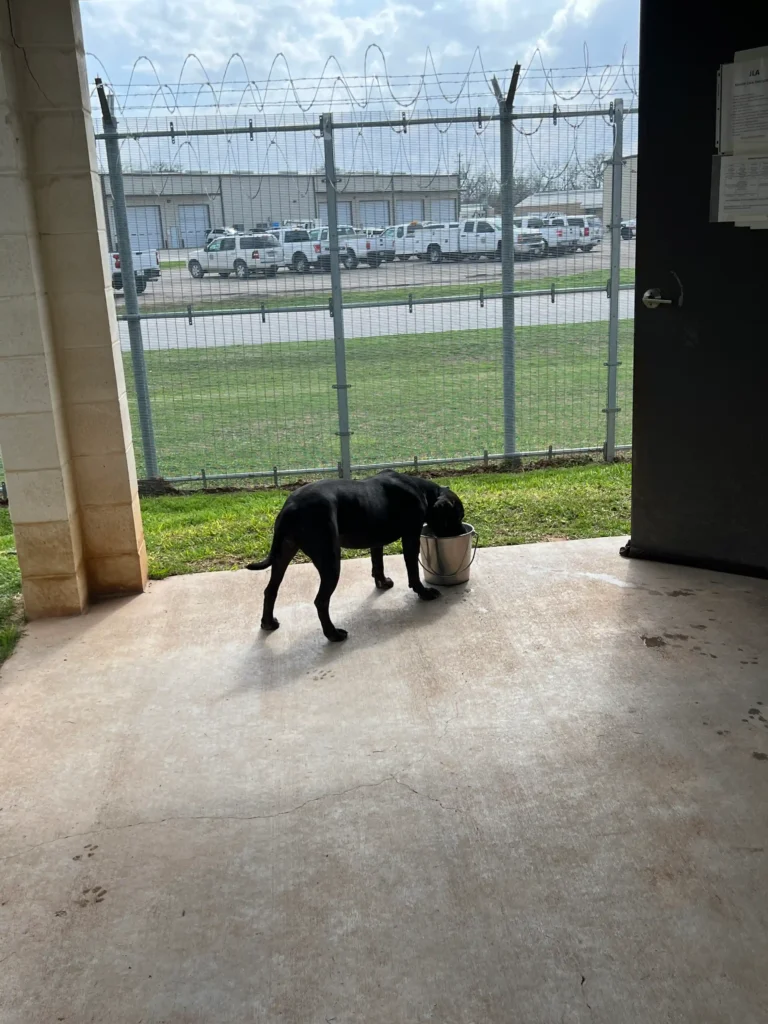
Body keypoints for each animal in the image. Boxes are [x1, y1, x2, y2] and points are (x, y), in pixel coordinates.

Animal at [247, 468, 462, 638]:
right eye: (458, 516)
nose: (461, 532)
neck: (424, 492)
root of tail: (290, 507)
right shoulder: (410, 538)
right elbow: (413, 571)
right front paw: (424, 592)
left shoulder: (376, 540)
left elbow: (378, 563)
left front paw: (382, 582)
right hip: (330, 560)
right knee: (320, 601)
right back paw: (333, 634)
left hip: (283, 553)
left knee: (270, 590)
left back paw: (268, 623)